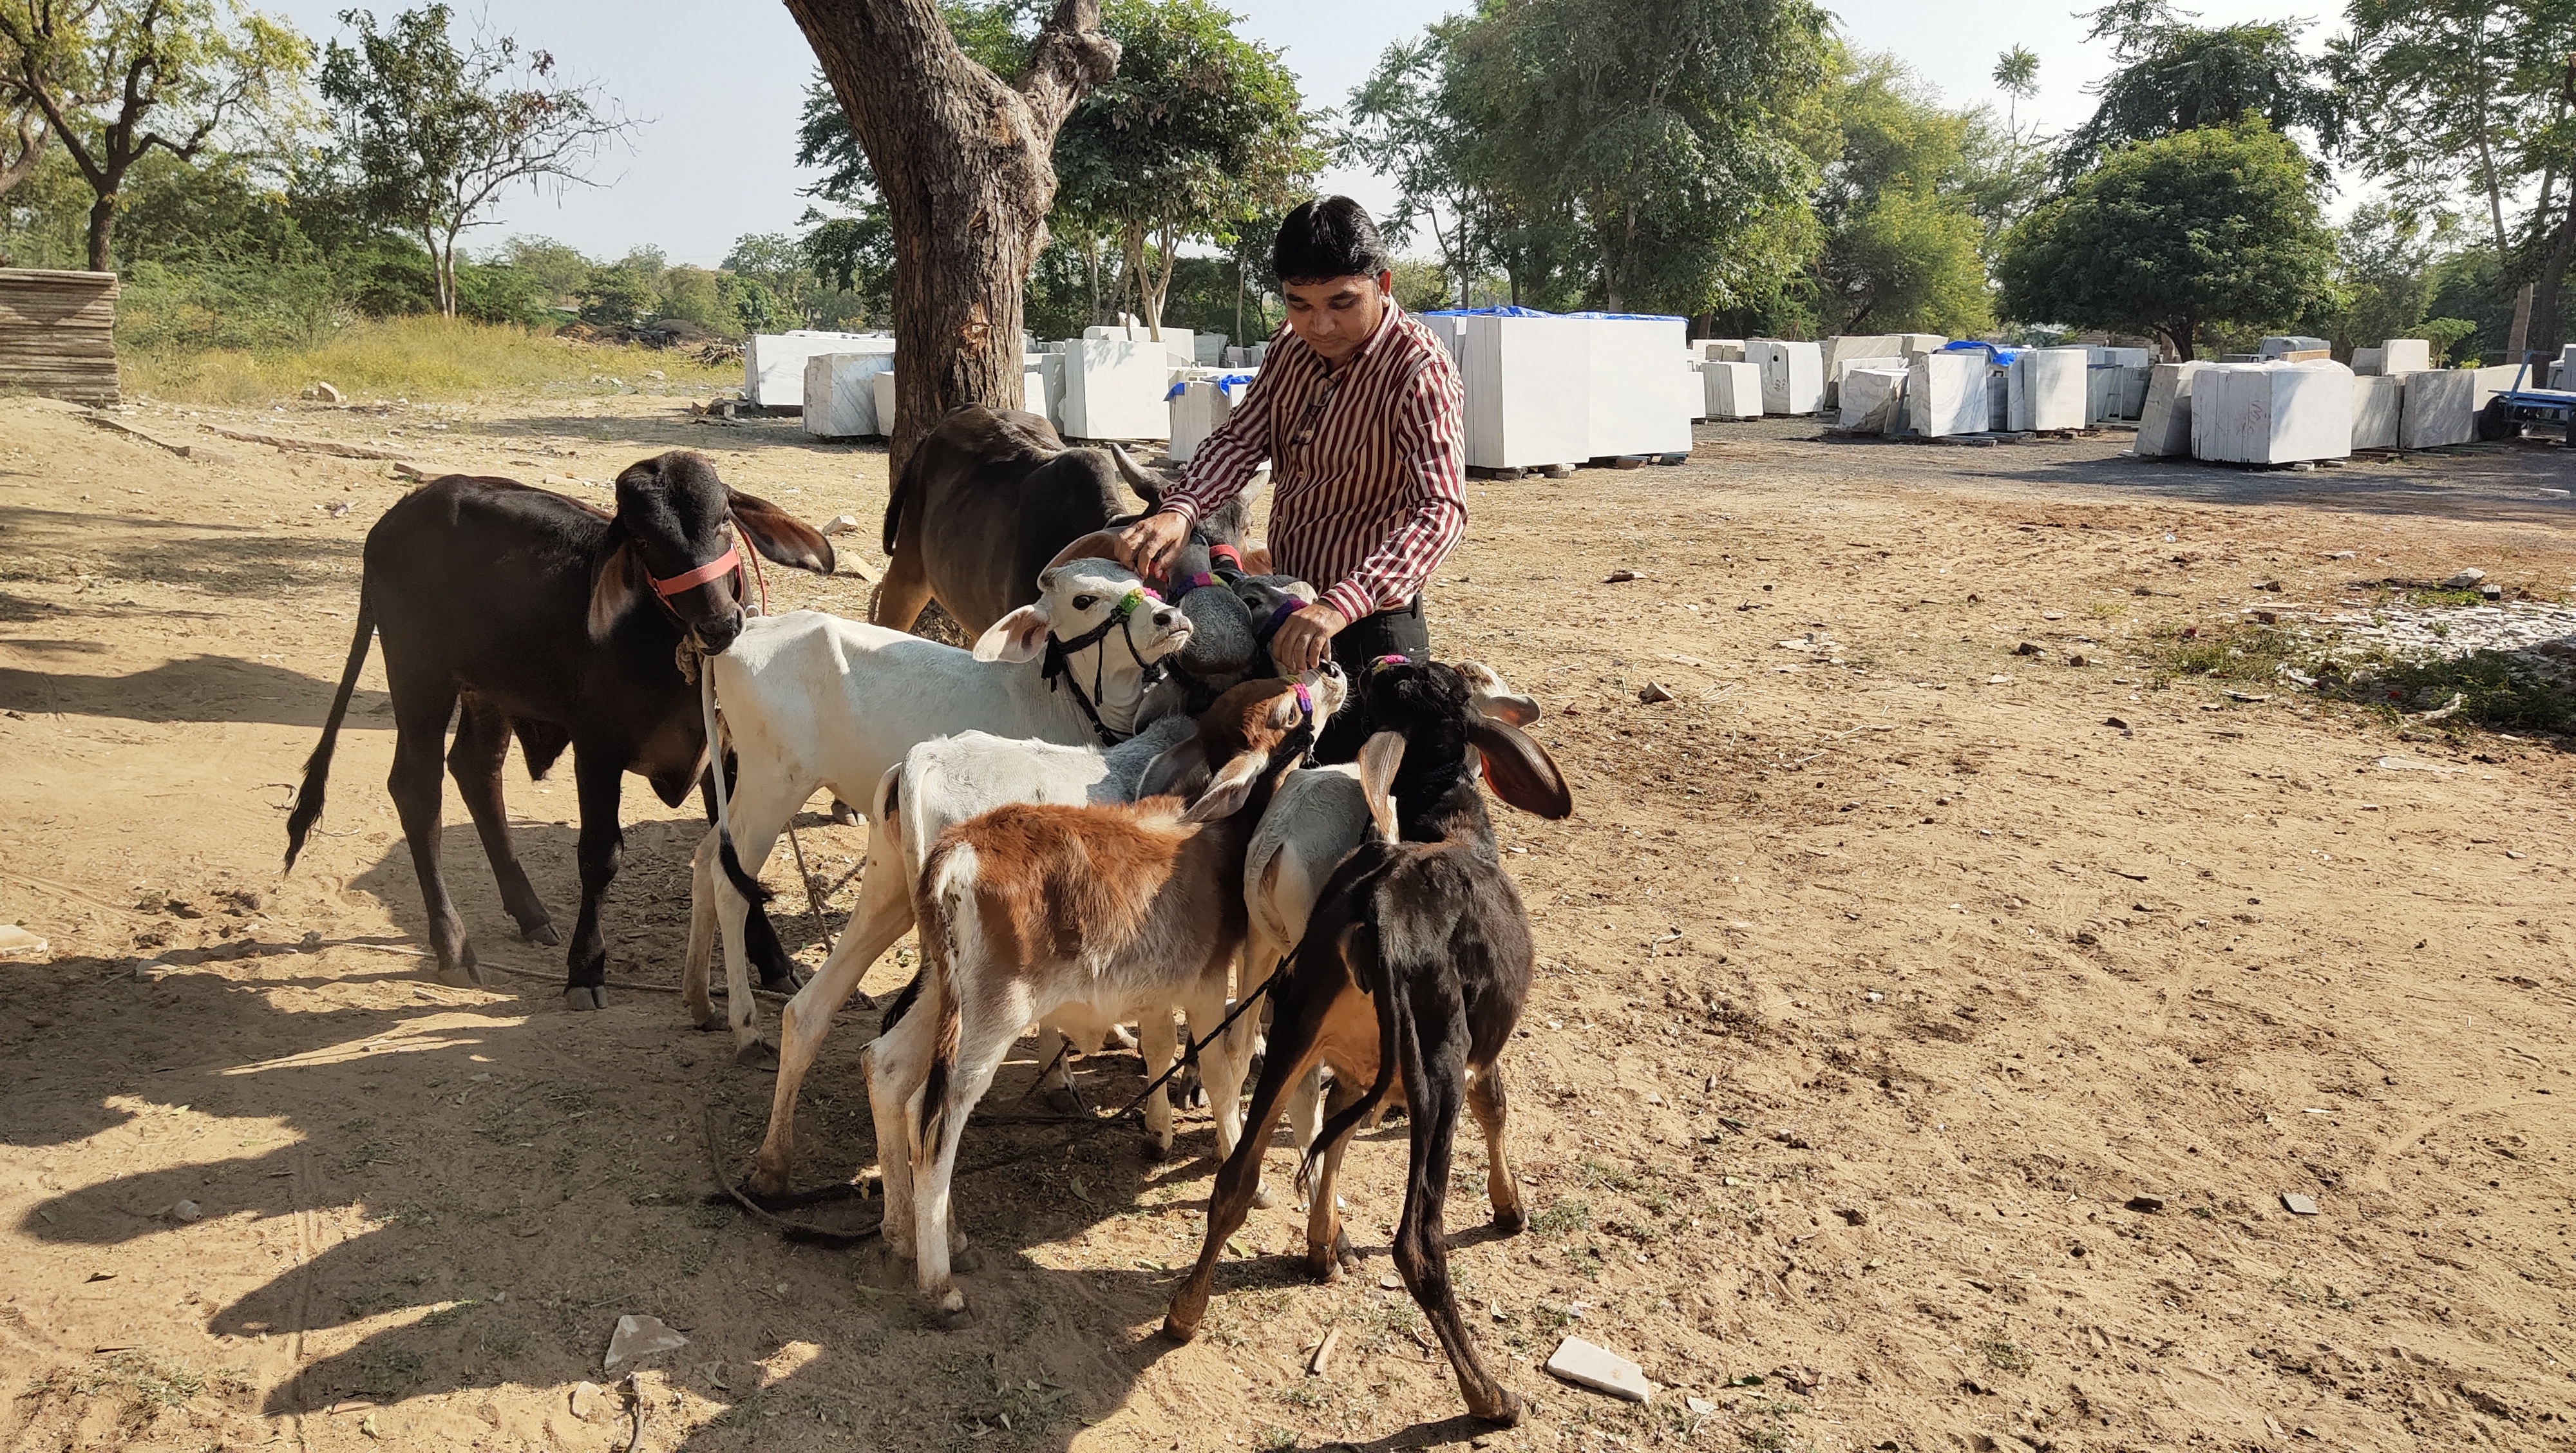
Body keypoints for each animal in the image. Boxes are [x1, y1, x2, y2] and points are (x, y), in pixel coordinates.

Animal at [291, 453, 835, 1010]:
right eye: (643, 541)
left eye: (724, 518)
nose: (719, 625)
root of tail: (396, 516)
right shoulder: (597, 748)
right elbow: (600, 856)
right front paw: (586, 969)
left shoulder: (724, 756)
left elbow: (739, 857)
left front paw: (774, 962)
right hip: (419, 678)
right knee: (417, 792)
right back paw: (453, 946)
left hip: (488, 690)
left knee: (476, 770)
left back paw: (529, 914)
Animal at [871, 675, 1350, 1319]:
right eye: (1286, 711)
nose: (1333, 673)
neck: (1219, 831)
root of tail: (964, 850)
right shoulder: (1206, 989)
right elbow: (1223, 1077)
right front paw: (1244, 1169)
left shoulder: (1159, 993)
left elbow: (1158, 1049)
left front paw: (1159, 1132)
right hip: (993, 1019)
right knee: (936, 1119)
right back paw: (940, 1282)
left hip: (943, 996)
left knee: (888, 1071)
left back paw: (906, 1233)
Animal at [1170, 660, 1566, 1432]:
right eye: (1475, 680)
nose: (1364, 665)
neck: (1444, 823)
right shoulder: (1475, 1050)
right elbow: (1497, 1108)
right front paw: (1509, 1208)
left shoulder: (1354, 1061)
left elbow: (1337, 1134)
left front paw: (1322, 1237)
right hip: (1432, 1066)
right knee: (1417, 1242)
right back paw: (1489, 1395)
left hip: (1284, 990)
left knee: (1239, 1155)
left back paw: (1189, 1309)